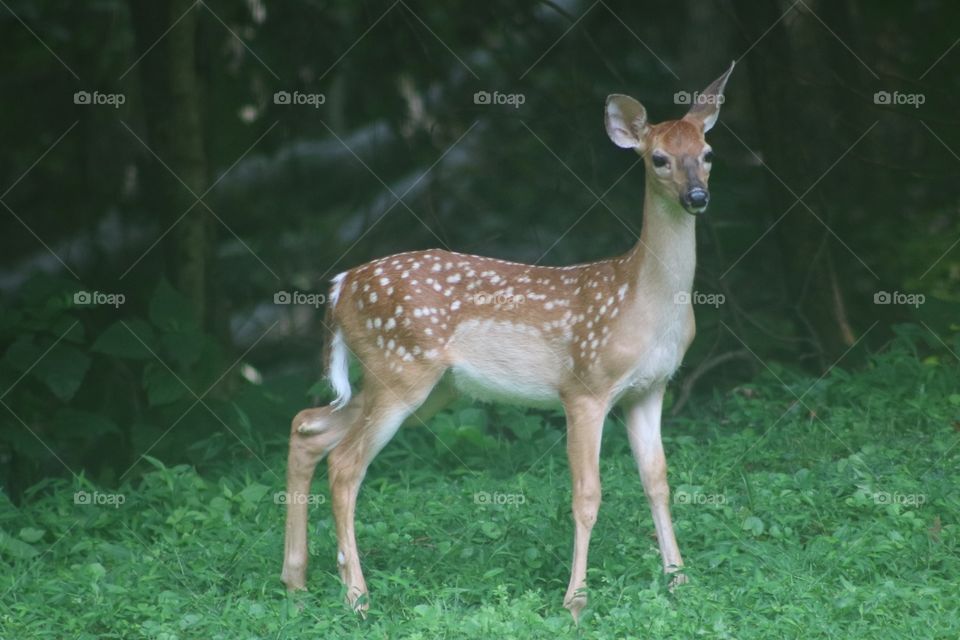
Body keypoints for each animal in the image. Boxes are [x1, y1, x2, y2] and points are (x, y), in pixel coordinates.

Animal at [281, 62, 735, 621]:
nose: (697, 197)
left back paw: (296, 582)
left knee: (308, 427)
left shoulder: (650, 388)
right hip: (401, 369)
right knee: (344, 465)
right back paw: (357, 598)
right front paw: (576, 601)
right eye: (659, 159)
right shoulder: (584, 386)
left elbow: (659, 483)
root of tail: (340, 286)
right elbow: (587, 494)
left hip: (423, 386)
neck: (641, 299)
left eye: (708, 153)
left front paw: (679, 582)